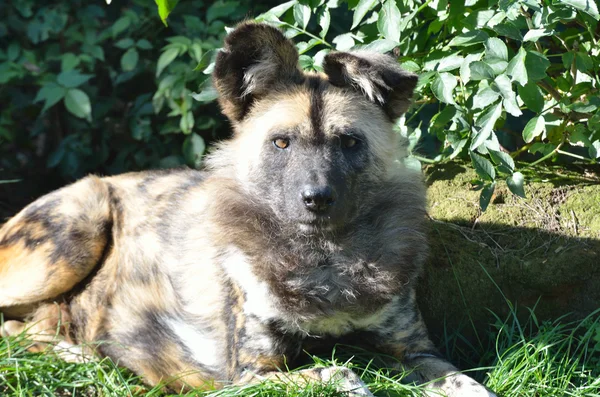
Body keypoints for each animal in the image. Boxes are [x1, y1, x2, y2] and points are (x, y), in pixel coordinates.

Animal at [1, 22, 496, 396]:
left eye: (349, 142)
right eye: (281, 142)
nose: (316, 198)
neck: (323, 260)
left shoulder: (416, 352)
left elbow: (469, 384)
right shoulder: (250, 375)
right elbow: (341, 373)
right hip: (77, 228)